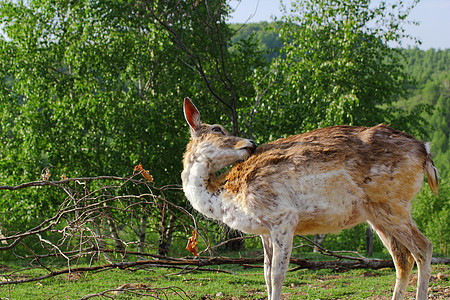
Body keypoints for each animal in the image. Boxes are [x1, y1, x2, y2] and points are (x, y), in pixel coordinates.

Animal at [181, 97, 438, 298]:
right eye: (217, 129)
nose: (251, 142)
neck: (225, 196)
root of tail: (425, 151)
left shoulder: (282, 216)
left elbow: (277, 274)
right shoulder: (264, 230)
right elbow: (265, 273)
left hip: (393, 203)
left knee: (424, 247)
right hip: (376, 213)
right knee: (403, 258)